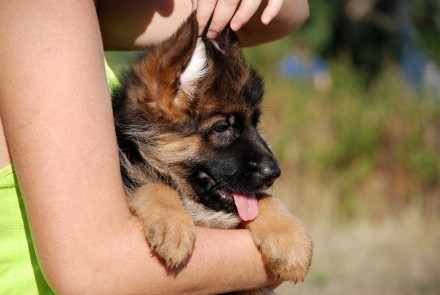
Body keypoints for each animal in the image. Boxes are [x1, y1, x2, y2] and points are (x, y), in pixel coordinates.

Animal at [113, 12, 312, 295]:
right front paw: (173, 224)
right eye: (222, 128)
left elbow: (264, 199)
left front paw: (290, 241)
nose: (274, 173)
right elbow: (153, 185)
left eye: (255, 123)